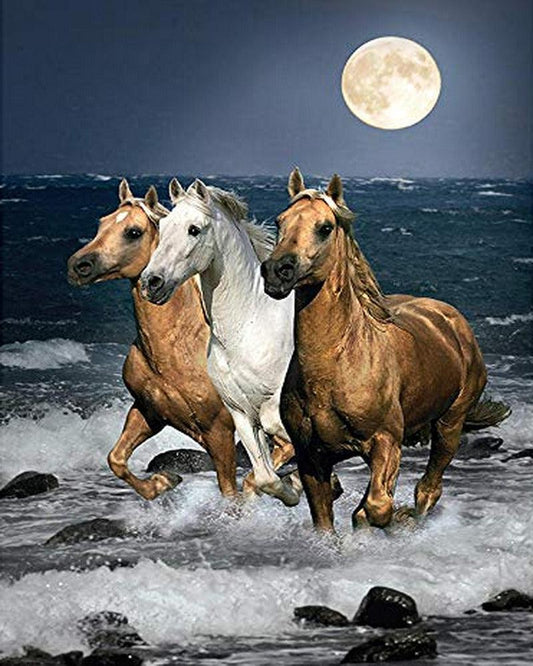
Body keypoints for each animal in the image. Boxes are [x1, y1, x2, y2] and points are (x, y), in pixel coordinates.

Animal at [67, 179, 238, 500]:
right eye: (102, 223)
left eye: (133, 232)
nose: (78, 266)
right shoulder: (149, 411)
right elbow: (116, 459)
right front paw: (163, 482)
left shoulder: (219, 432)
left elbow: (233, 492)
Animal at [139, 178, 303, 506]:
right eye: (162, 226)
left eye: (194, 229)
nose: (152, 282)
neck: (250, 327)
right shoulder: (240, 412)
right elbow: (265, 476)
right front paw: (292, 490)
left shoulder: (278, 406)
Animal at [261, 168, 499, 532]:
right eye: (280, 221)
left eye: (325, 227)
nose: (276, 271)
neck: (337, 364)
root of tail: (454, 322)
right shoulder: (311, 456)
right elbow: (327, 520)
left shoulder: (385, 440)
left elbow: (377, 507)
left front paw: (388, 517)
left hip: (450, 424)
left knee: (428, 489)